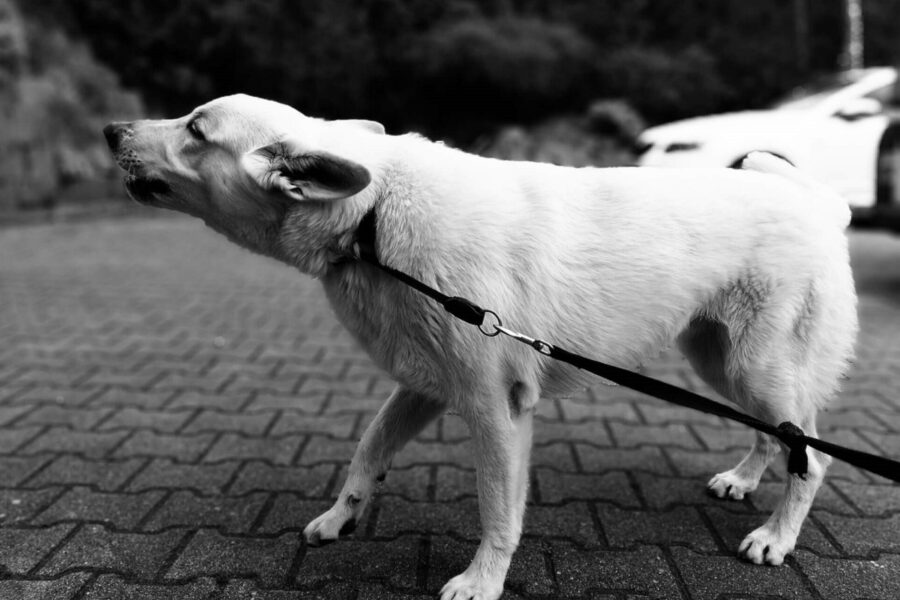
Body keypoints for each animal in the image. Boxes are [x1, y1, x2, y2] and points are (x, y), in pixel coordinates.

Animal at [103, 95, 856, 600]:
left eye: (197, 128)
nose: (109, 130)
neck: (372, 218)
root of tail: (821, 203)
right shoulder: (425, 386)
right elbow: (367, 452)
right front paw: (342, 516)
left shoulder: (495, 407)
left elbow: (497, 508)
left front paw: (482, 580)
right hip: (720, 360)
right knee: (779, 436)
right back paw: (744, 480)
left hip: (751, 365)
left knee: (812, 455)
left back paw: (777, 537)